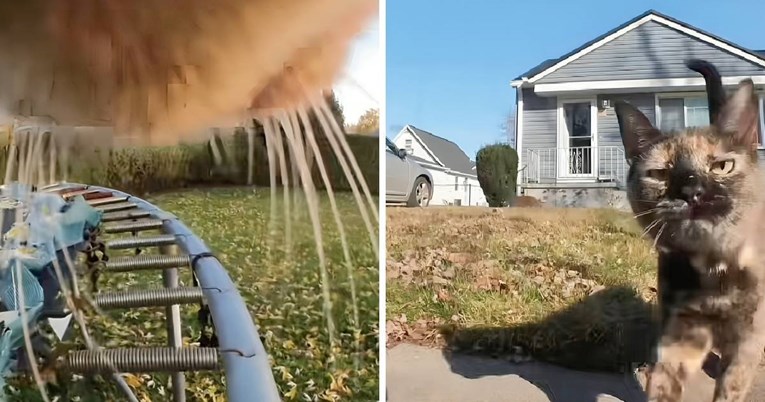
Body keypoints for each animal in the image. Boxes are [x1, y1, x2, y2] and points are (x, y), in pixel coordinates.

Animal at [612, 60, 764, 402]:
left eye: (721, 166)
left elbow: (731, 389)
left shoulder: (749, 336)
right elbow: (663, 384)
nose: (692, 191)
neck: (714, 271)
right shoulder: (682, 329)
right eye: (659, 173)